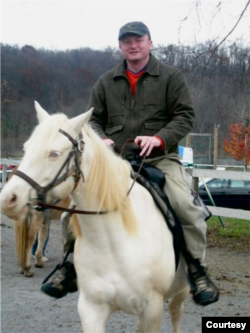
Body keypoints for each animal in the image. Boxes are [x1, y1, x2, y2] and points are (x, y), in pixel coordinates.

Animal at [0, 102, 188, 332]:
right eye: (26, 149)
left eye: (54, 153)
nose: (9, 198)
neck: (114, 242)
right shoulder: (92, 308)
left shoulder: (152, 310)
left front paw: (38, 261)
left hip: (180, 292)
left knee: (177, 313)